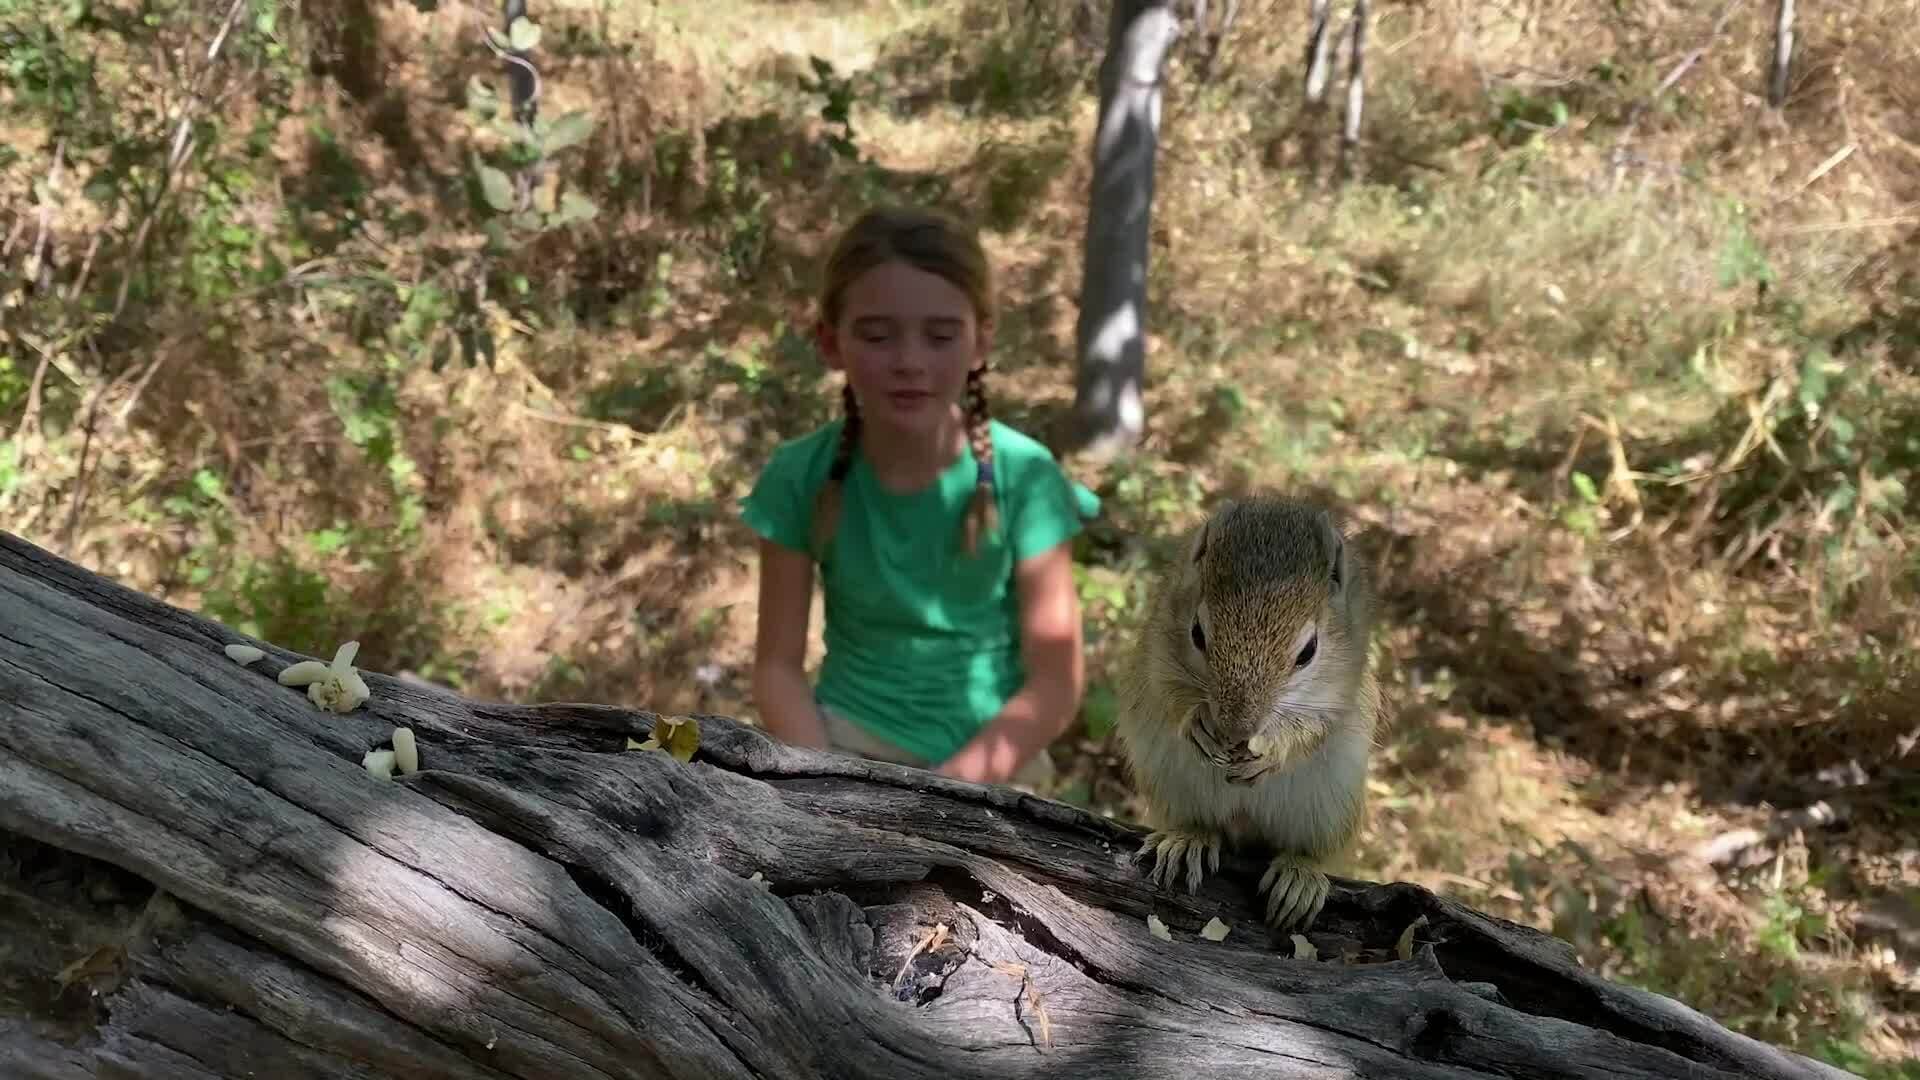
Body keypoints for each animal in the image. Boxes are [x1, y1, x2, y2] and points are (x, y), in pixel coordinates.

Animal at [1114, 494, 1382, 933]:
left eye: (1308, 651)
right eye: (1197, 633)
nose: (1236, 728)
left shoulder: (1344, 684)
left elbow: (1316, 728)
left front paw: (1272, 751)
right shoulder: (1157, 652)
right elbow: (1170, 695)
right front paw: (1197, 725)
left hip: (1331, 807)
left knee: (1312, 851)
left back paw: (1300, 876)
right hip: (1170, 783)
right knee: (1200, 823)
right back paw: (1189, 840)